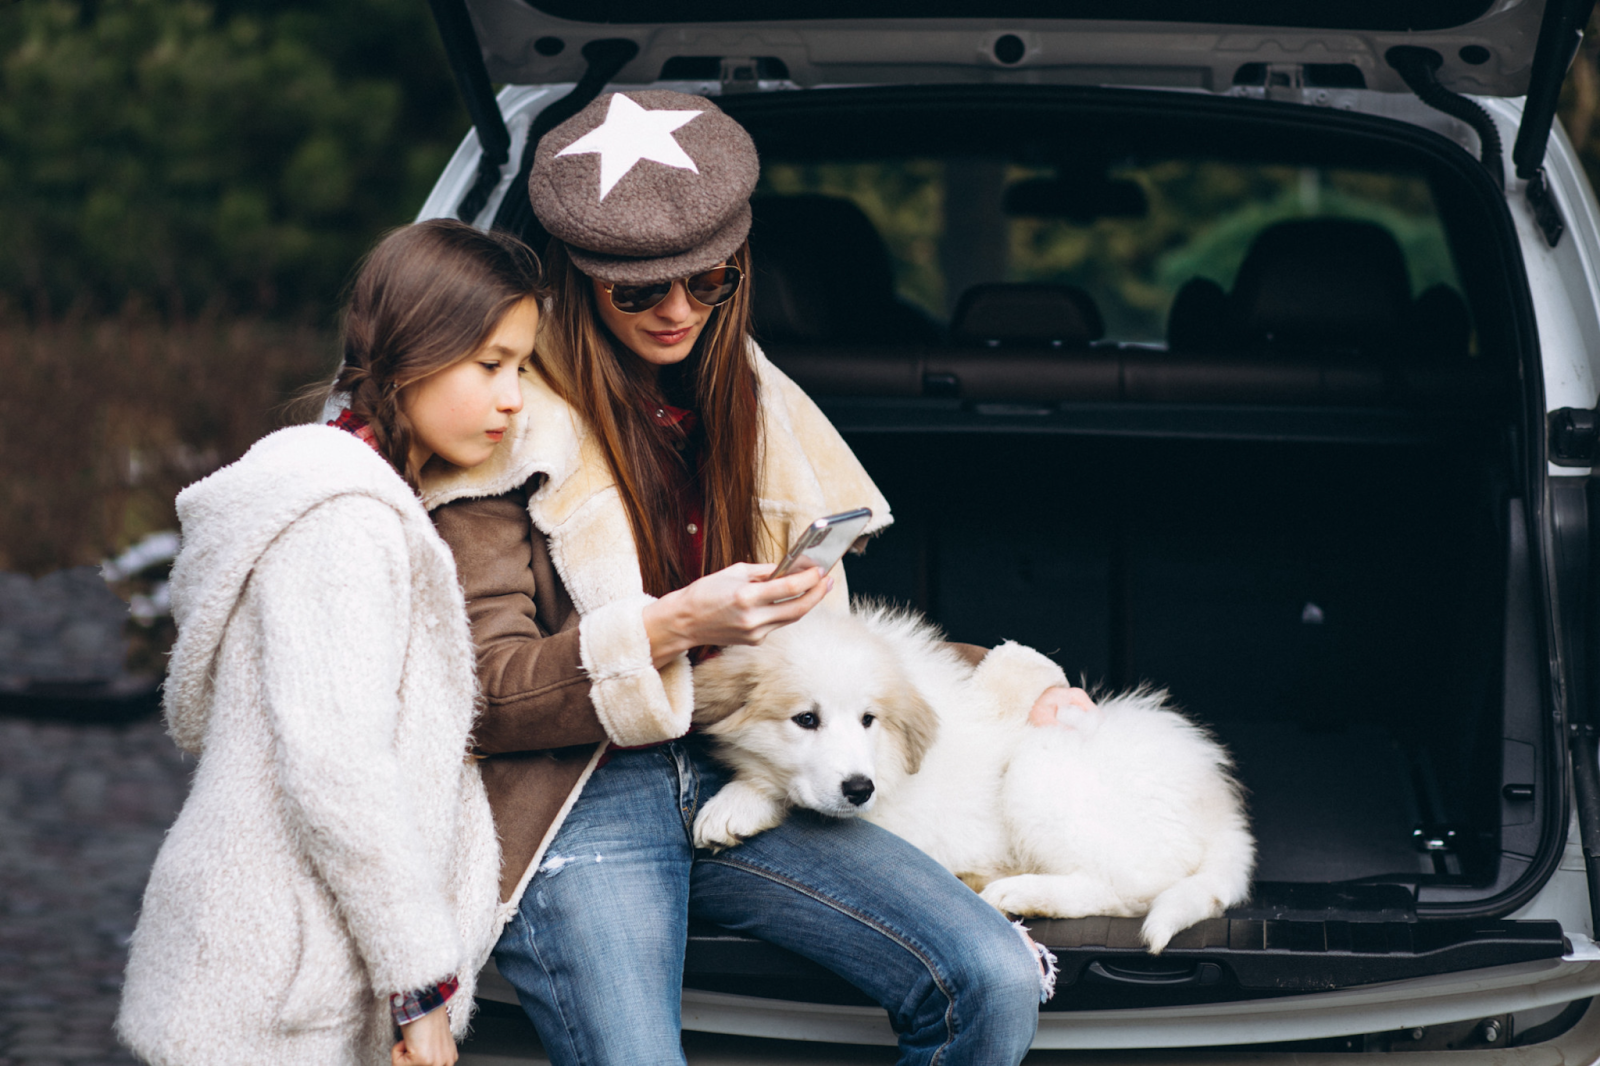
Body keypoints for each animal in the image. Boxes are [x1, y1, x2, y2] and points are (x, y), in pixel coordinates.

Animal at [694, 601, 1254, 947]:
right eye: (805, 719)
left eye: (868, 719)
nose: (858, 789)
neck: (893, 760)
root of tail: (1220, 808)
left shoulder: (901, 816)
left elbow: (793, 795)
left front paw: (736, 803)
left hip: (1042, 766)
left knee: (1126, 889)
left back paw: (1022, 892)